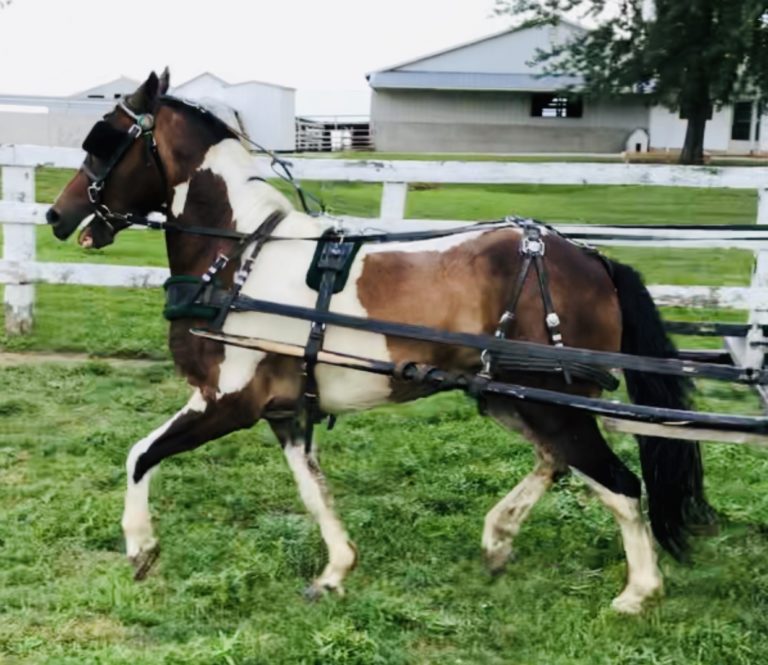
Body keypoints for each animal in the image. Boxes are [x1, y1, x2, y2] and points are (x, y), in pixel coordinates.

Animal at [46, 70, 714, 613]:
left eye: (102, 141)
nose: (57, 216)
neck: (239, 260)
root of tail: (591, 259)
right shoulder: (285, 412)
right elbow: (312, 490)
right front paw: (336, 570)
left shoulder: (226, 400)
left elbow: (140, 454)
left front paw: (140, 547)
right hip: (513, 397)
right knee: (558, 463)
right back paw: (498, 538)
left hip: (549, 401)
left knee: (619, 485)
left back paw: (637, 592)